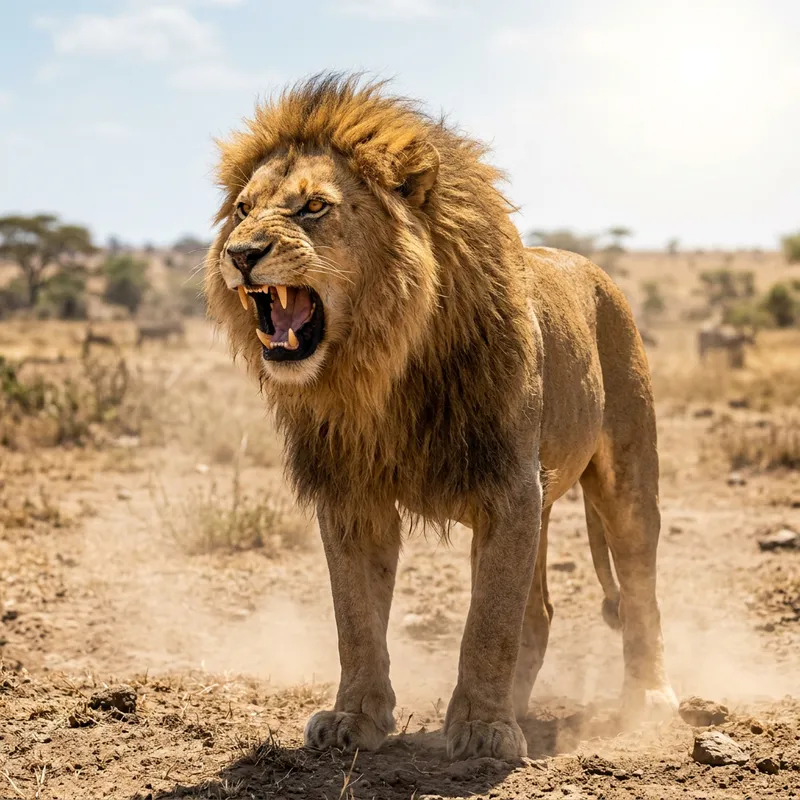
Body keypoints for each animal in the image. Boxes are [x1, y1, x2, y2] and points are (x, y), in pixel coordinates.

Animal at [204, 74, 677, 761]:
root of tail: (591, 266)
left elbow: (488, 623)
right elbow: (356, 618)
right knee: (539, 612)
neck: (381, 367)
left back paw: (647, 699)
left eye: (313, 207)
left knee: (640, 587)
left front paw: (481, 728)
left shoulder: (509, 488)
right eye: (242, 209)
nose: (240, 254)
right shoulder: (352, 496)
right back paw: (521, 702)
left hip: (629, 476)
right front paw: (354, 719)